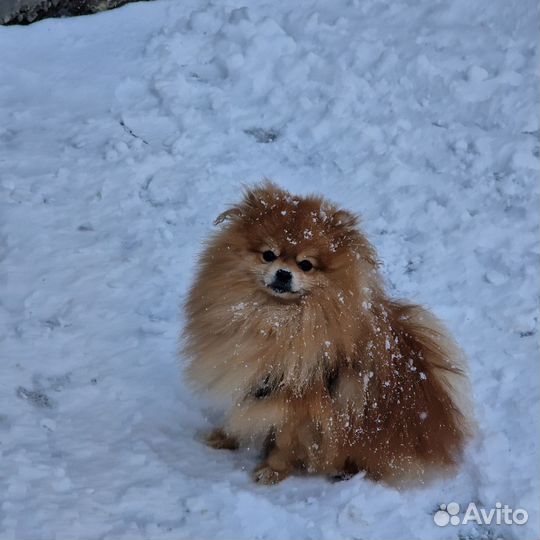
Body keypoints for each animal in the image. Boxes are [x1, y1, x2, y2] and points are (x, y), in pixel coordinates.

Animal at [184, 184, 474, 488]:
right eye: (268, 255)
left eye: (306, 265)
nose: (283, 273)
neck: (274, 320)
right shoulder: (248, 375)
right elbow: (240, 411)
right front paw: (224, 437)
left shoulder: (302, 405)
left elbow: (286, 442)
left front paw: (272, 471)